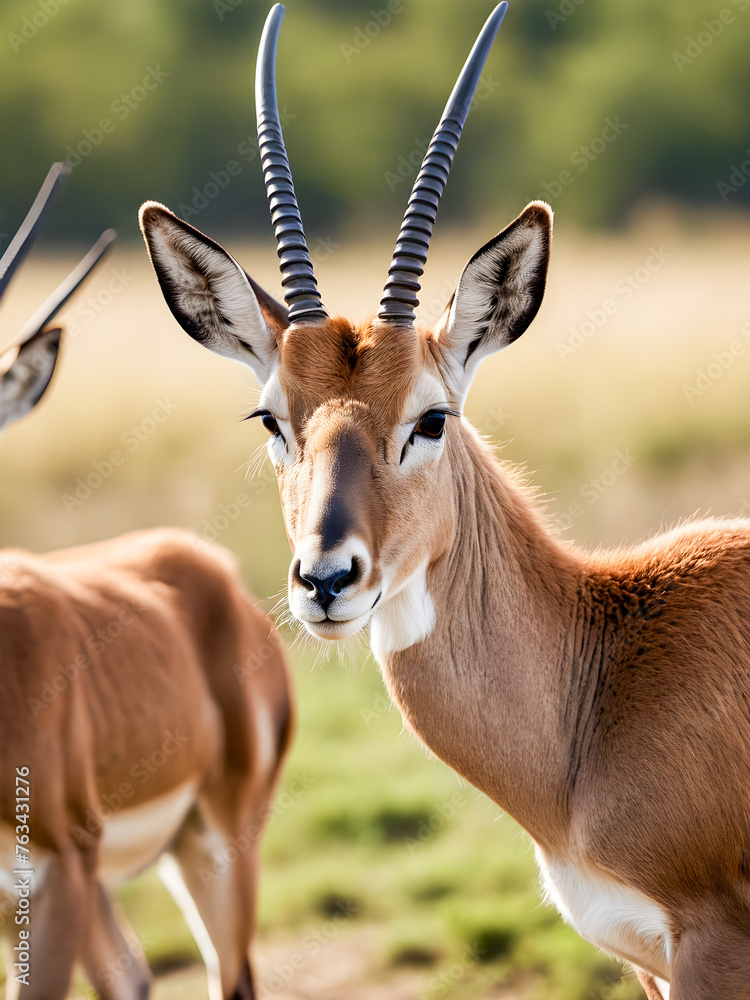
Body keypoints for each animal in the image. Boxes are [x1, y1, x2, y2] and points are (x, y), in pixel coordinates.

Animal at [138, 3, 750, 996]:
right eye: (272, 417)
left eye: (430, 417)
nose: (327, 580)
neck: (603, 675)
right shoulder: (653, 964)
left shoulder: (708, 946)